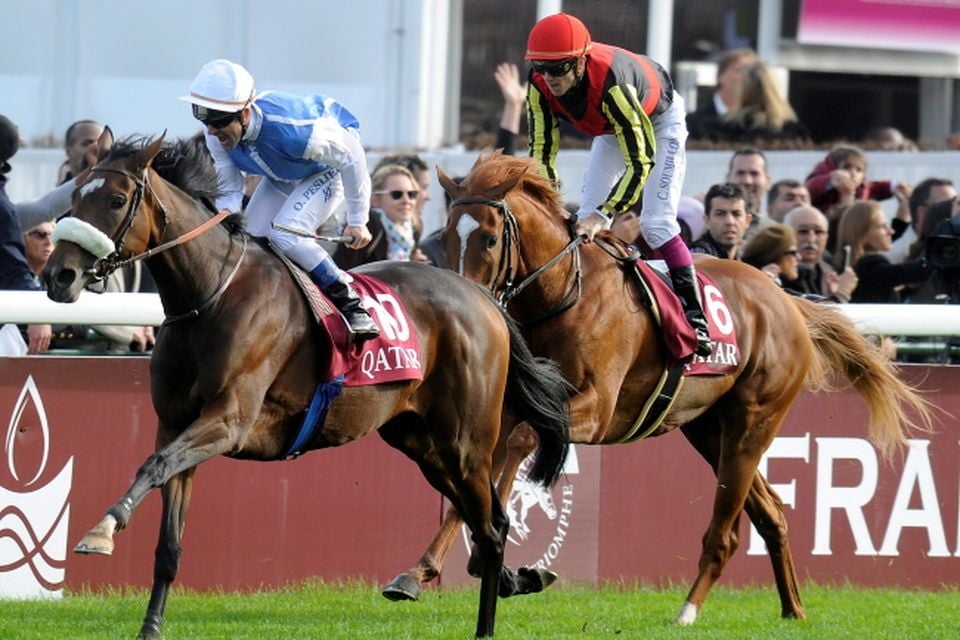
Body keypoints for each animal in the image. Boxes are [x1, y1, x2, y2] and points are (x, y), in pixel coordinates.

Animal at [41, 136, 568, 640]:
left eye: (116, 199)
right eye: (74, 194)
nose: (57, 275)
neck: (210, 295)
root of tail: (483, 297)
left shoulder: (228, 420)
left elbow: (152, 465)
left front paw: (102, 528)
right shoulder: (175, 425)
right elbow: (168, 536)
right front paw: (150, 626)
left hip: (466, 441)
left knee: (492, 527)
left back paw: (485, 624)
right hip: (423, 445)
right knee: (488, 521)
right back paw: (513, 579)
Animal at [386, 154, 932, 624]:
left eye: (490, 239)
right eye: (445, 237)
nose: (466, 302)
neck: (563, 294)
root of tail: (787, 300)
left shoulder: (596, 410)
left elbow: (520, 443)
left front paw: (491, 565)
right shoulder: (514, 405)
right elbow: (485, 465)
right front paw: (421, 572)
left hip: (754, 422)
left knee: (726, 532)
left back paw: (688, 611)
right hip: (709, 430)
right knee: (772, 512)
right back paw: (792, 609)